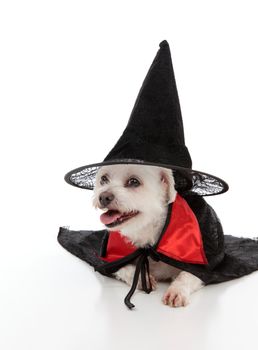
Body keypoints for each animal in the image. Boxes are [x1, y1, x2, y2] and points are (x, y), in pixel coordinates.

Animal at [92, 164, 204, 306]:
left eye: (134, 181)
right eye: (104, 179)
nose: (103, 197)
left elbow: (188, 274)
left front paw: (177, 290)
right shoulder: (110, 258)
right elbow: (122, 267)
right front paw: (141, 277)